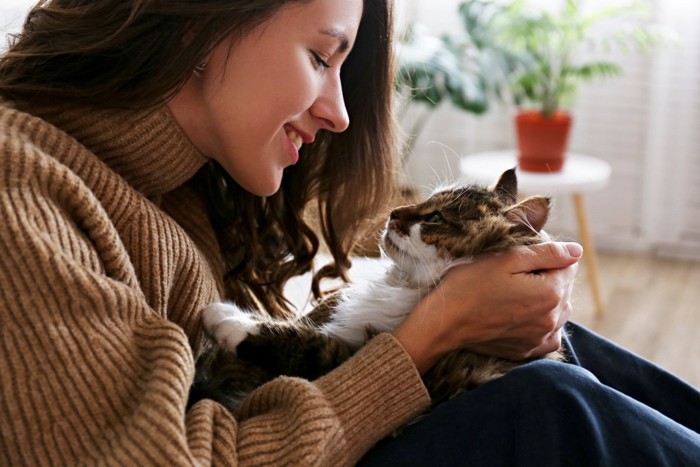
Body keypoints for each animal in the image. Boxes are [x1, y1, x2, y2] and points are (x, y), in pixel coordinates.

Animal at [190, 168, 564, 414]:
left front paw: (228, 318)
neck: (402, 286)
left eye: (436, 218)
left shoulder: (344, 358)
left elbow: (305, 343)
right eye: (425, 202)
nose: (394, 211)